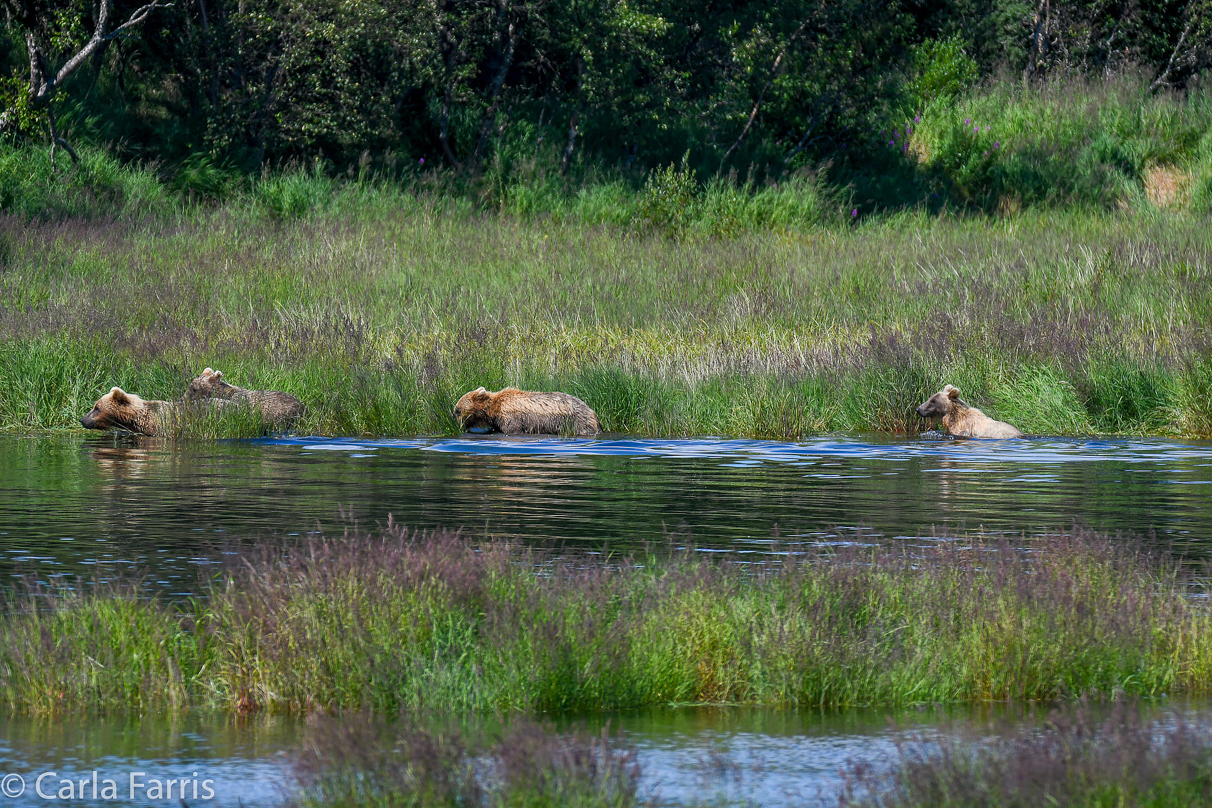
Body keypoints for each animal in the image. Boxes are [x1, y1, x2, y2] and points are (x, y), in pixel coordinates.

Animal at [453, 387, 598, 436]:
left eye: (458, 411)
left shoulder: (511, 416)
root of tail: (592, 411)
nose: (459, 426)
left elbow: (512, 430)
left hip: (577, 421)